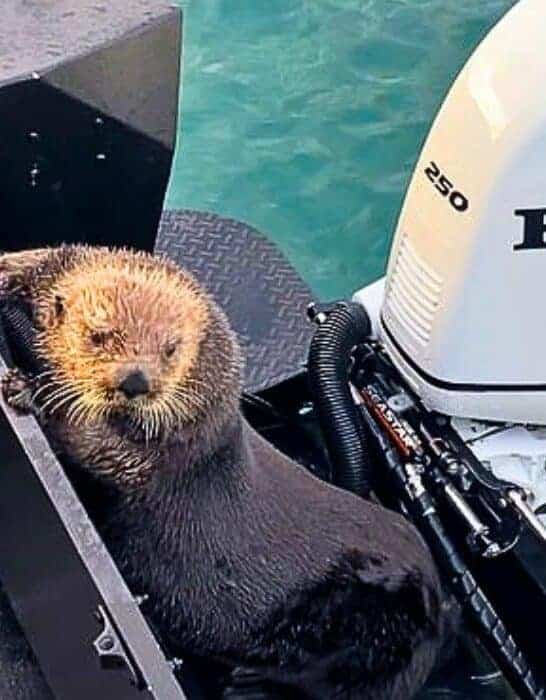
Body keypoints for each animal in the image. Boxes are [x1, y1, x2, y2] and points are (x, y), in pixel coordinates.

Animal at [0, 245, 451, 699]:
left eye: (170, 349)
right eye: (98, 335)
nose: (135, 381)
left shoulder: (164, 447)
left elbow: (97, 444)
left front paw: (32, 392)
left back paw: (247, 681)